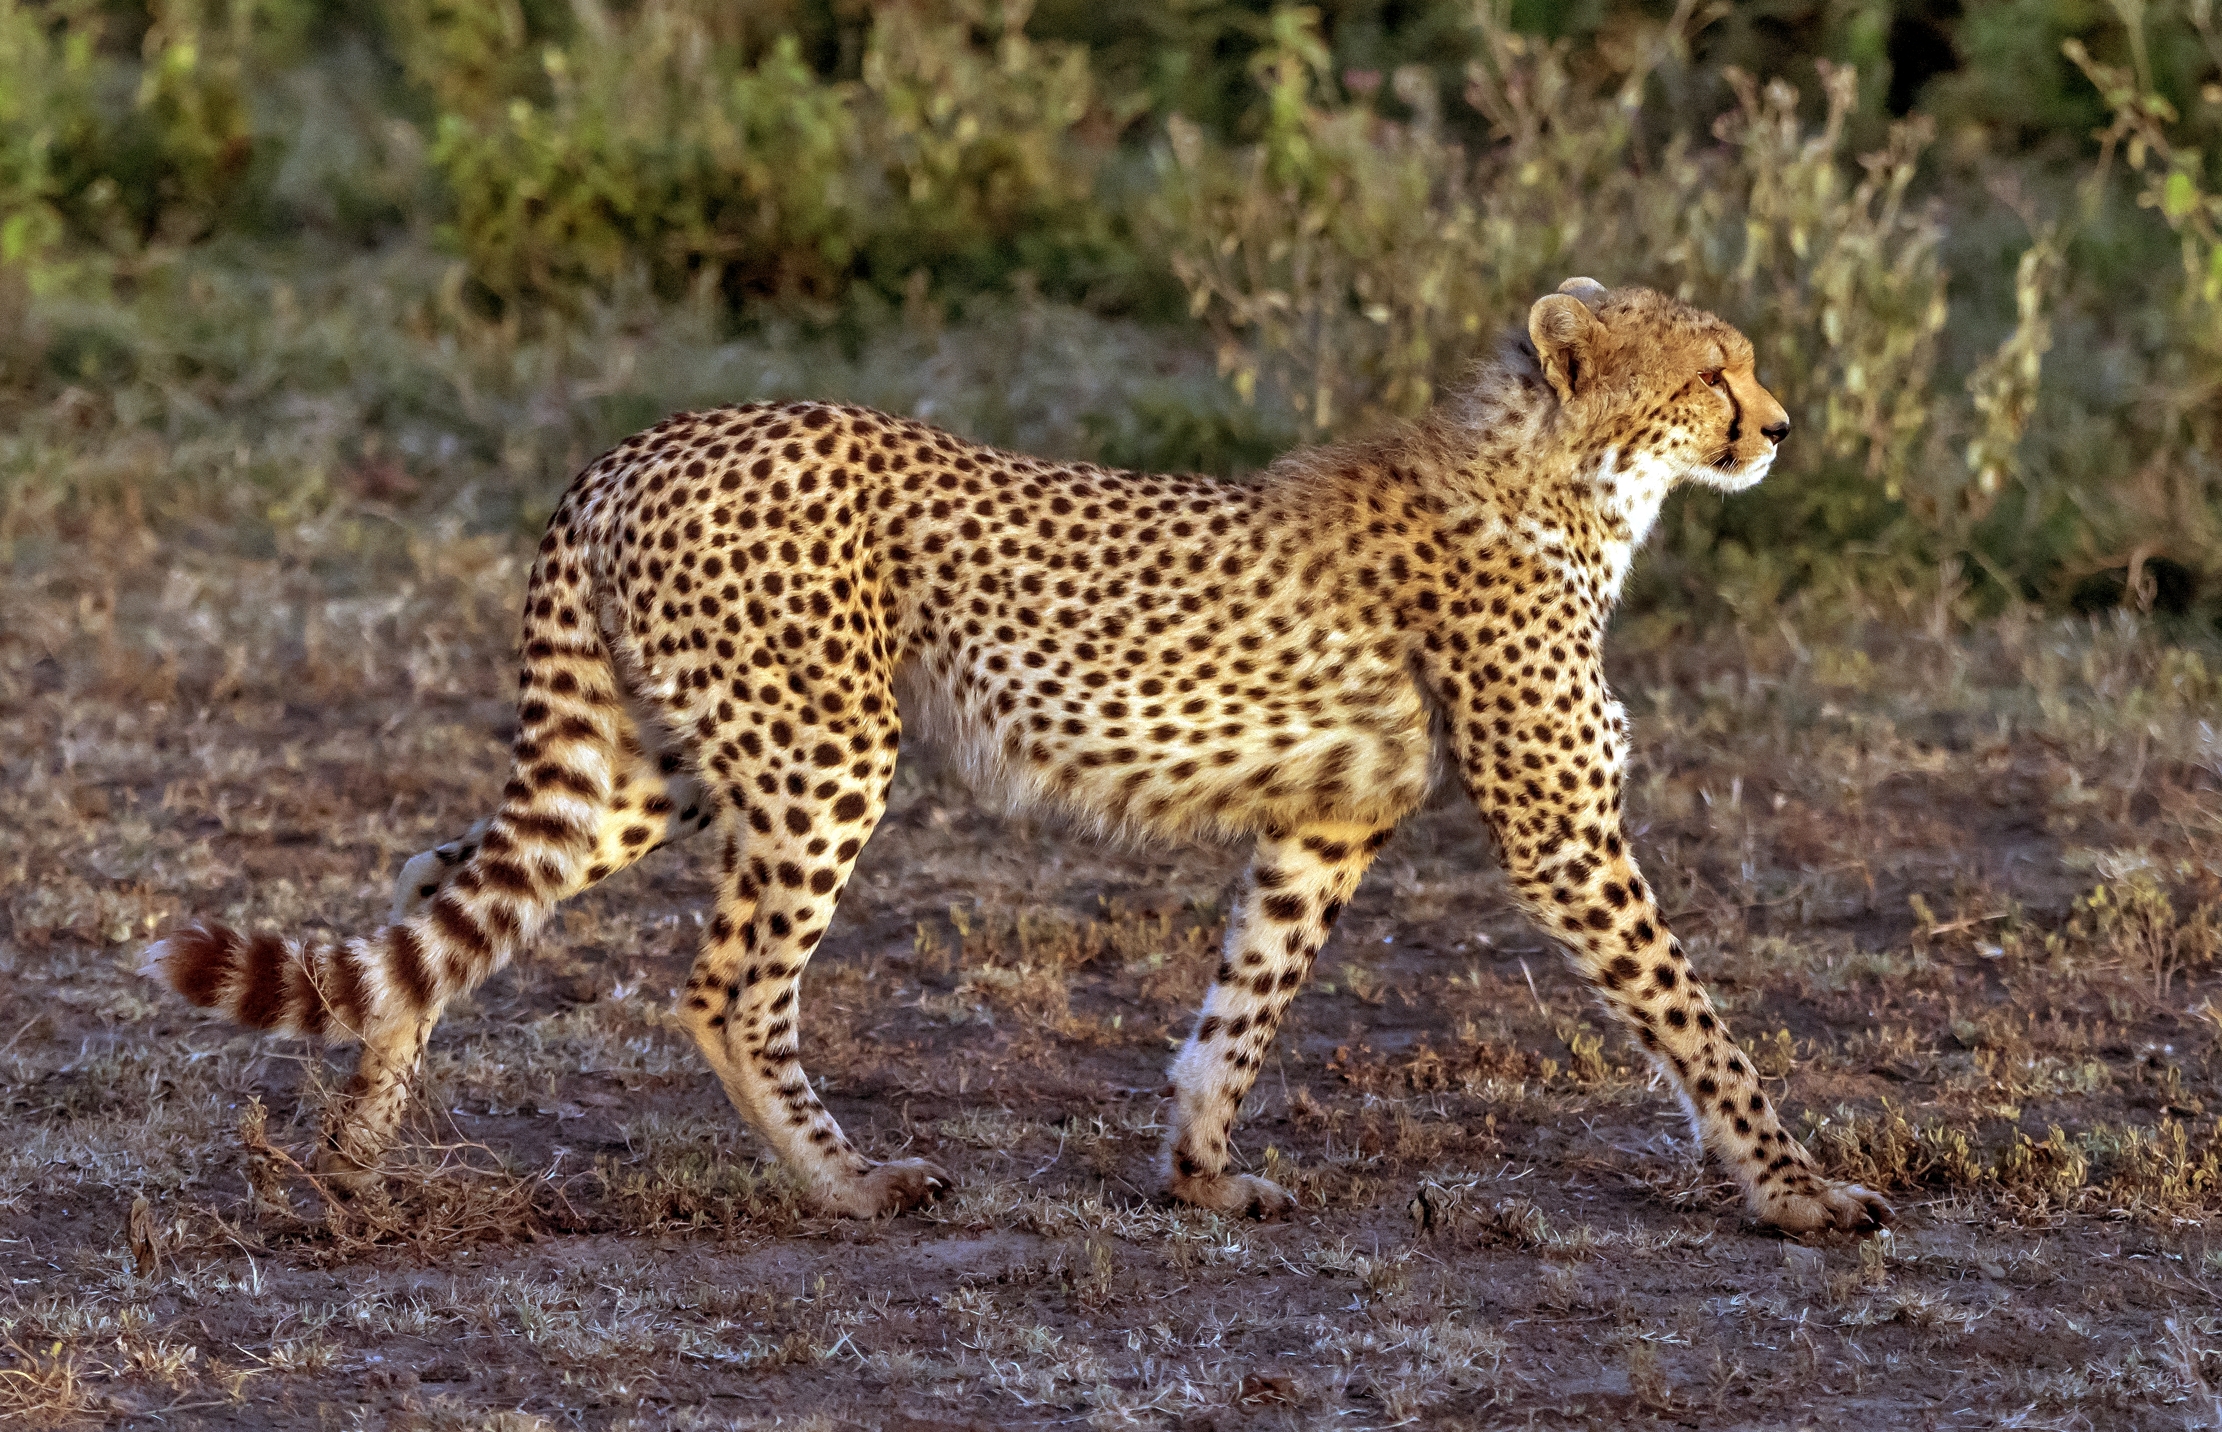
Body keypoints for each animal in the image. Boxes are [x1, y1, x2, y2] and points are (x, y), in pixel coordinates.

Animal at [144, 278, 1893, 1235]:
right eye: (1710, 373)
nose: (1778, 425)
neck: (1566, 481)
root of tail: (643, 440)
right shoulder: (1558, 829)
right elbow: (1696, 1023)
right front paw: (1797, 1193)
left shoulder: (1324, 826)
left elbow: (1241, 1004)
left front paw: (1197, 1173)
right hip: (824, 750)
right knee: (723, 985)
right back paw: (849, 1187)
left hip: (665, 761)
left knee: (441, 883)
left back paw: (352, 1161)